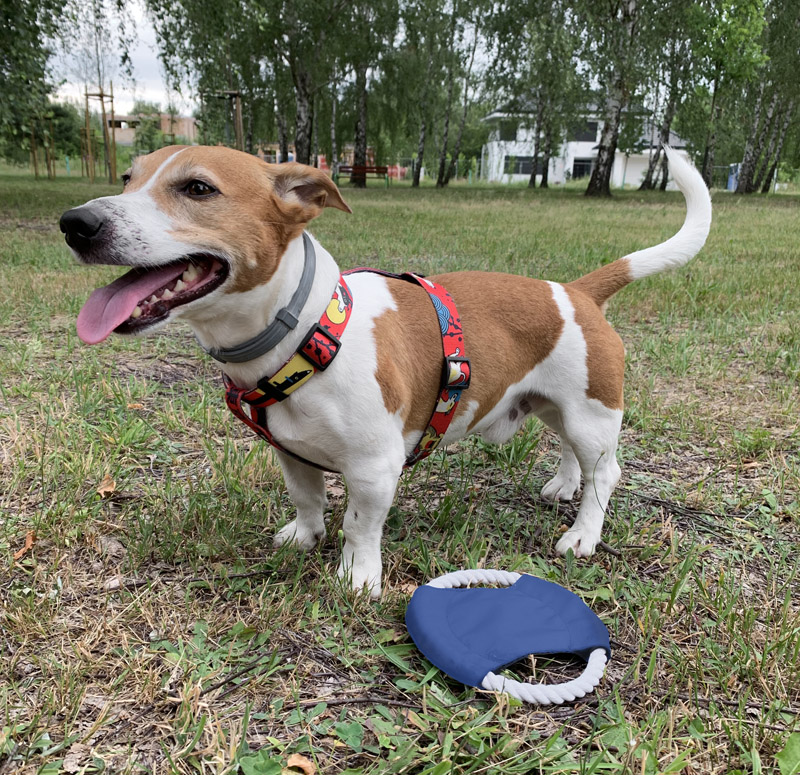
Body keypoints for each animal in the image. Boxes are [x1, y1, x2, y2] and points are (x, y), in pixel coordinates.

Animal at [62, 146, 712, 596]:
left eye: (197, 188)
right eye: (128, 178)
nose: (76, 222)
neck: (305, 332)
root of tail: (576, 292)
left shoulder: (375, 468)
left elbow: (358, 524)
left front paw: (356, 577)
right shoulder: (291, 453)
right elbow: (307, 499)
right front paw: (304, 536)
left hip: (591, 413)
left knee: (606, 473)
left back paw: (583, 533)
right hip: (560, 408)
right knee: (574, 455)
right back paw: (563, 484)